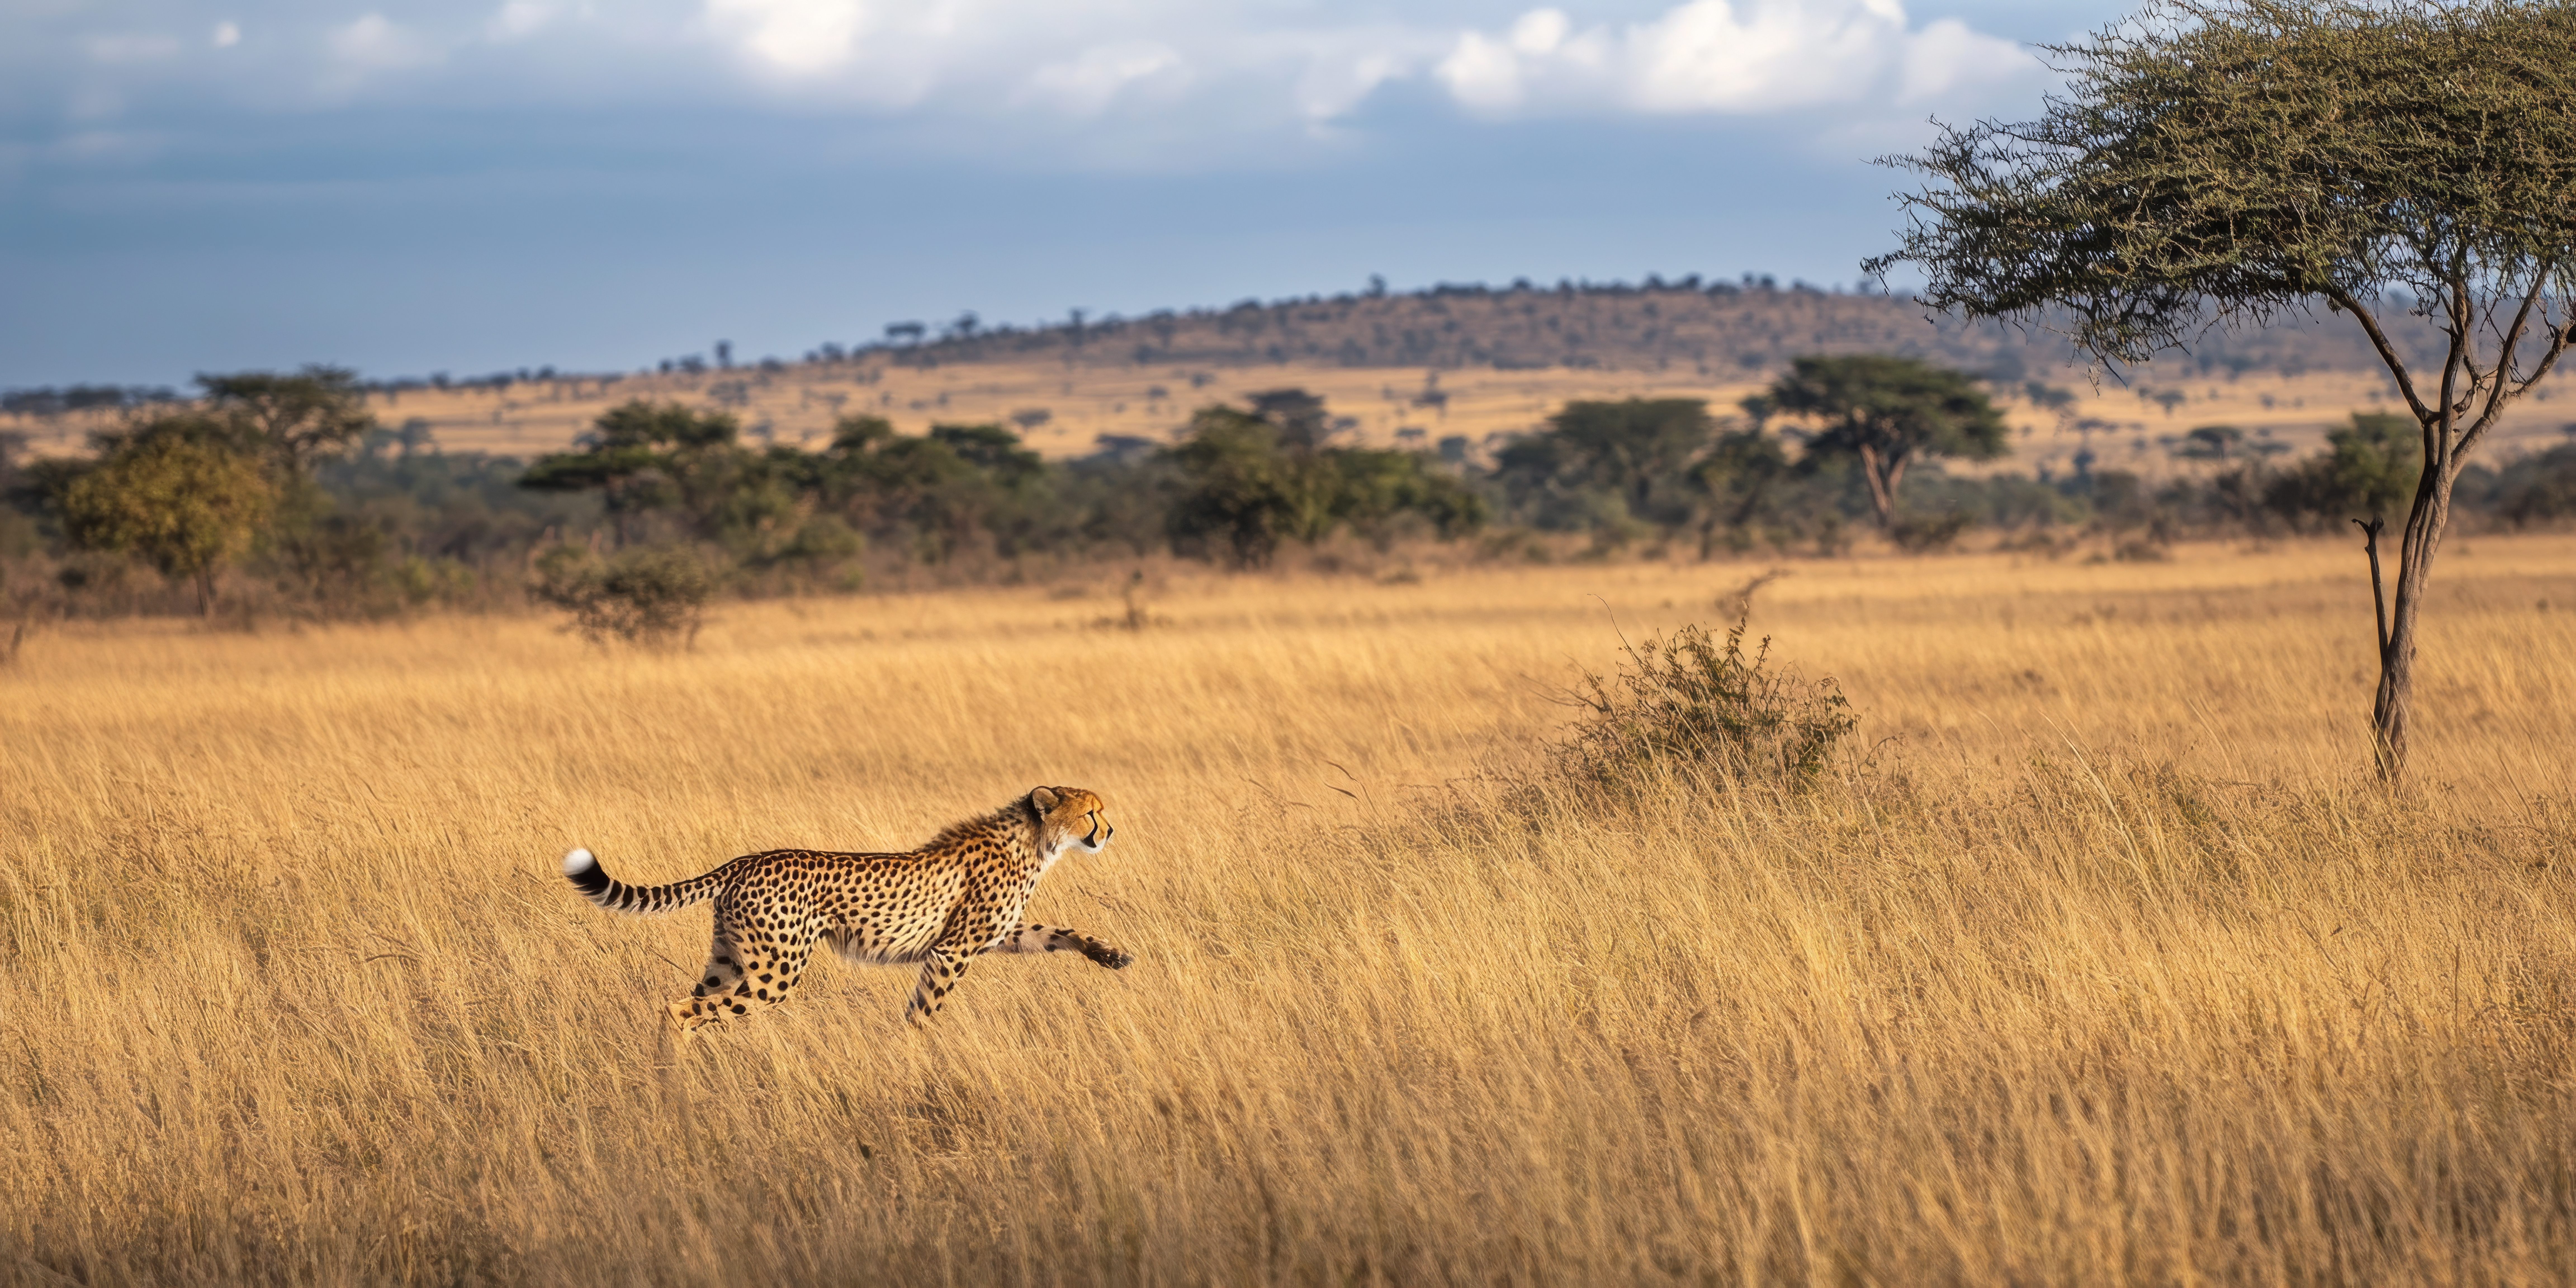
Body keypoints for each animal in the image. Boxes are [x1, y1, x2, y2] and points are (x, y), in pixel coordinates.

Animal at [562, 786, 1129, 1031]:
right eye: (1092, 812)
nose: (1110, 831)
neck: (1035, 841)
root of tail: (747, 860)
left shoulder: (997, 933)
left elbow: (1058, 932)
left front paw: (1109, 954)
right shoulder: (951, 951)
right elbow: (926, 1009)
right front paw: (918, 1049)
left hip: (729, 961)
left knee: (691, 1004)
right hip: (776, 973)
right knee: (681, 1009)